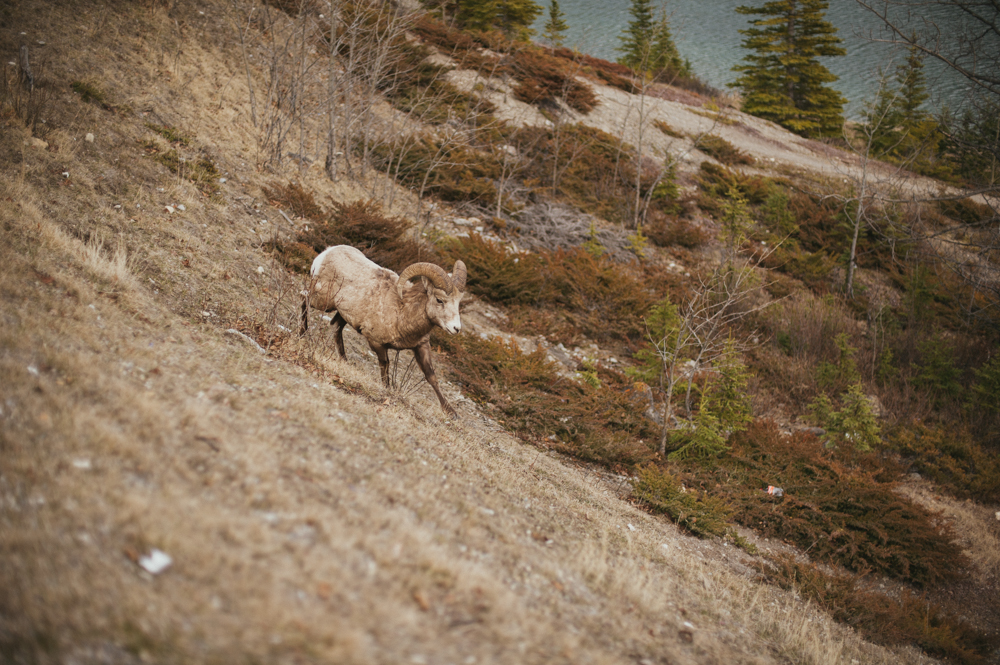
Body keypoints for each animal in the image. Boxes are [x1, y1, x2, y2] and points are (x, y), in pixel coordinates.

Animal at [298, 245, 466, 416]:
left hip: (341, 313)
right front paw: (387, 389)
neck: (401, 311)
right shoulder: (376, 343)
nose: (456, 328)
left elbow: (431, 376)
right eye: (439, 300)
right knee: (304, 298)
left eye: (458, 302)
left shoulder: (421, 346)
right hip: (323, 301)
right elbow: (385, 366)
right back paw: (302, 335)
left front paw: (451, 412)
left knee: (336, 328)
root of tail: (327, 252)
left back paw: (344, 360)